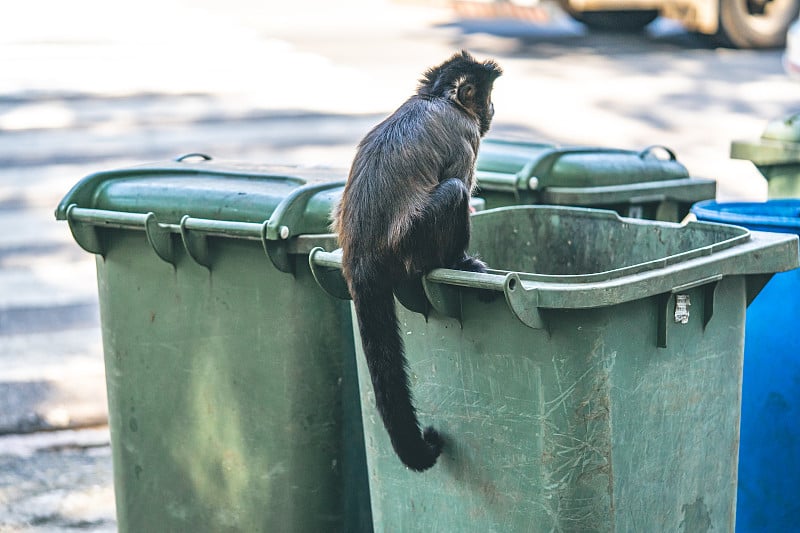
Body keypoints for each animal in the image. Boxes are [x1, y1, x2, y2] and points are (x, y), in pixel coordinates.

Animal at [332, 52, 500, 472]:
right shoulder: (464, 132)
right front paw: (463, 262)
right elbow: (460, 182)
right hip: (413, 244)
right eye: (487, 97)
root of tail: (359, 258)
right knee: (454, 190)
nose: (493, 109)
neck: (436, 97)